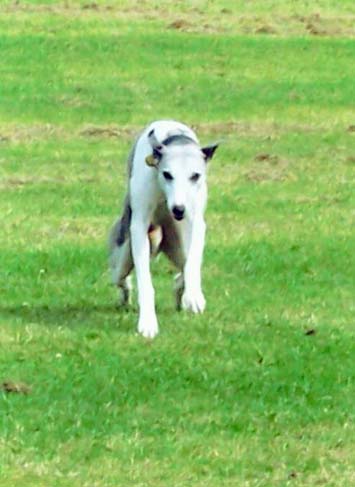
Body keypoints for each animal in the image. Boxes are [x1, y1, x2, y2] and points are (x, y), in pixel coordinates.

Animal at [109, 120, 220, 338]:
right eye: (167, 174)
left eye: (195, 176)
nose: (178, 209)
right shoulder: (139, 227)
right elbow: (145, 281)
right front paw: (147, 323)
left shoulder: (197, 222)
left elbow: (193, 261)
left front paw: (194, 296)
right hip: (126, 252)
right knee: (120, 277)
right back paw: (126, 295)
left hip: (178, 245)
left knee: (182, 268)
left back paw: (181, 292)